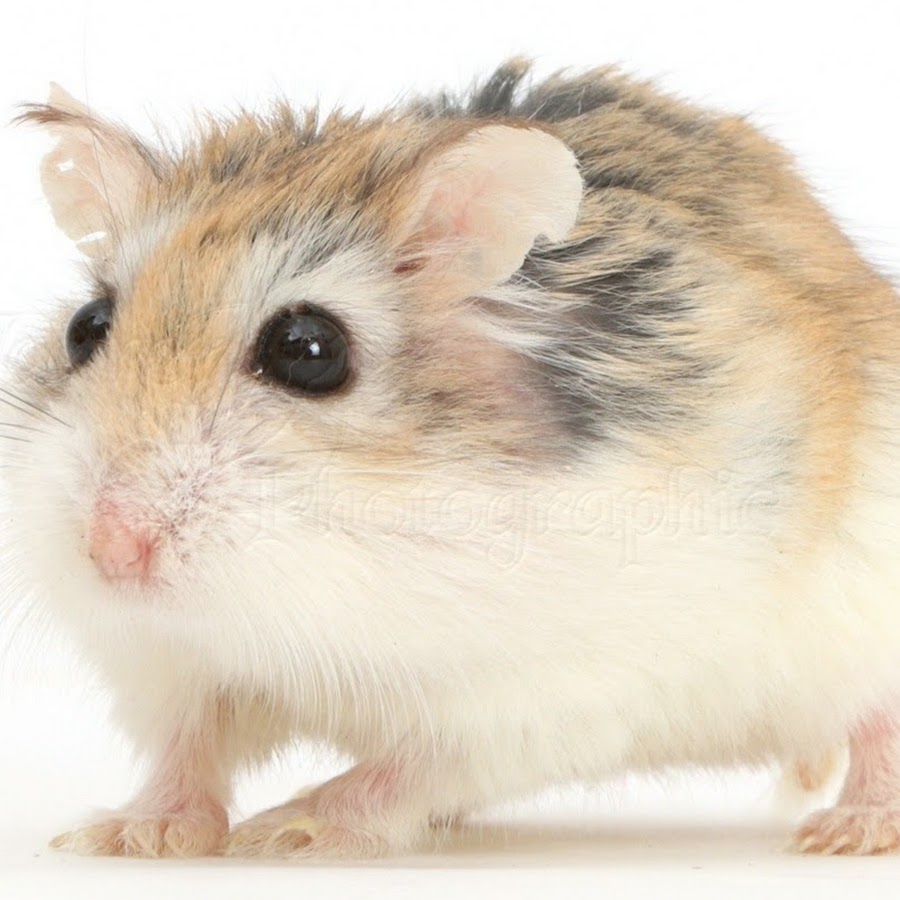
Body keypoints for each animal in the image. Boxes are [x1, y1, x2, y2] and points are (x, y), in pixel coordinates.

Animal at [5, 58, 900, 859]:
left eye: (308, 350)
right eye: (85, 327)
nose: (110, 551)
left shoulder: (540, 694)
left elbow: (410, 767)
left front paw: (291, 828)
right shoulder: (170, 664)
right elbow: (187, 746)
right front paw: (127, 836)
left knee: (875, 727)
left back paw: (850, 832)